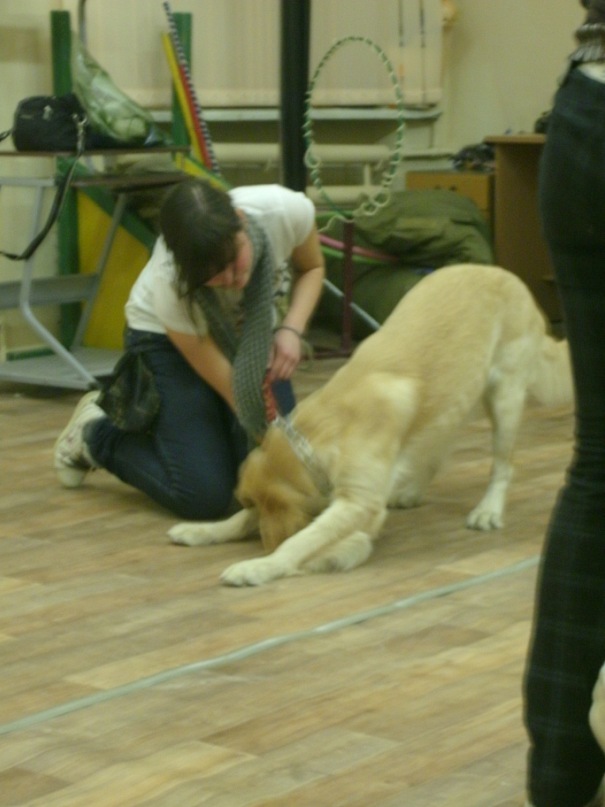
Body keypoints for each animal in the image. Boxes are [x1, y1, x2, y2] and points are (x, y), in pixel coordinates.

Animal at [169, 264, 573, 586]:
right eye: (248, 502)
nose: (264, 540)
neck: (320, 435)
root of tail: (508, 275)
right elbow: (242, 522)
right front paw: (204, 530)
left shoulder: (358, 504)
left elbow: (302, 540)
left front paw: (261, 565)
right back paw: (410, 490)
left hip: (505, 396)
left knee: (503, 465)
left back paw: (488, 510)